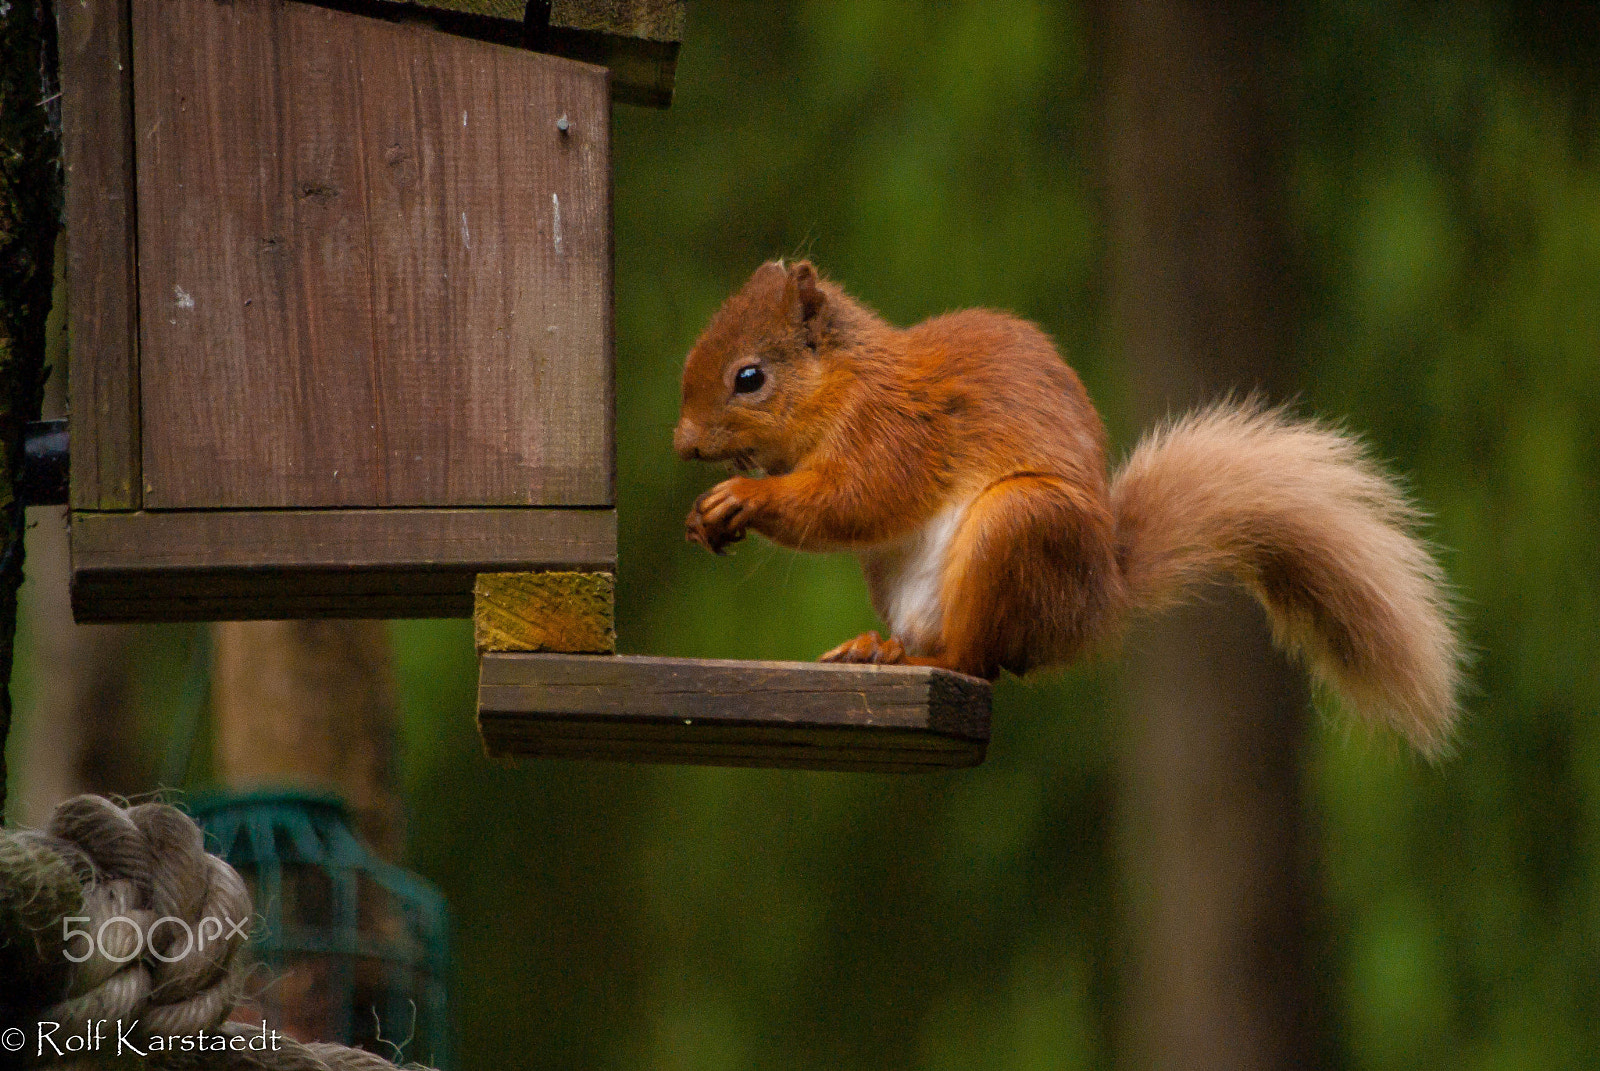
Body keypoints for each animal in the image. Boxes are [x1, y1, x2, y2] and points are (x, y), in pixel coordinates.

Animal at [675, 259, 1465, 752]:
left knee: (976, 662)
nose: (682, 443)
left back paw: (908, 657)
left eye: (750, 378)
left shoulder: (894, 432)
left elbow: (854, 498)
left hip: (1019, 529)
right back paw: (877, 647)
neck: (845, 381)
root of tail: (1096, 602)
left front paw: (744, 498)